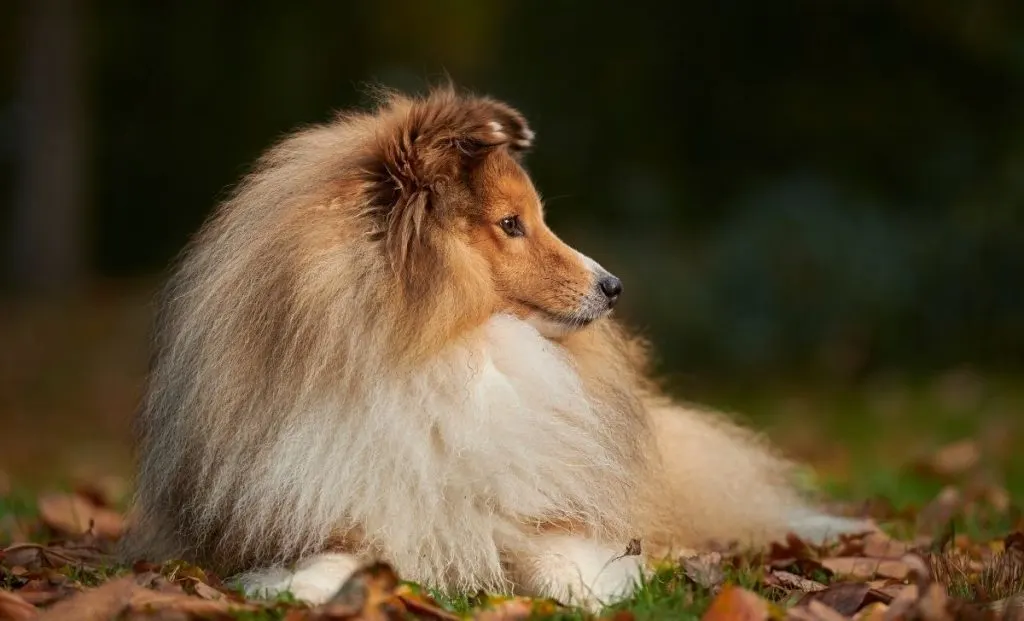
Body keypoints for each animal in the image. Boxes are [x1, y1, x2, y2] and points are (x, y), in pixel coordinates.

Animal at [121, 86, 872, 614]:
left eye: (532, 218)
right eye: (511, 224)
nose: (613, 286)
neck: (447, 354)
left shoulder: (543, 507)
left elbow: (560, 556)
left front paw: (599, 586)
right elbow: (340, 551)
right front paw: (301, 588)